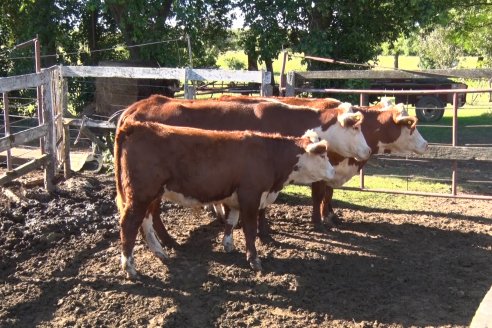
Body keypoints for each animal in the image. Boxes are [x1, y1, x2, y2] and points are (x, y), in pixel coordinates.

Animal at [115, 120, 336, 276]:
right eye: (323, 155)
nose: (333, 172)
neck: (269, 156)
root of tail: (135, 126)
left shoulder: (236, 198)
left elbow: (231, 222)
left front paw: (228, 246)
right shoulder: (251, 196)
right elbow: (250, 229)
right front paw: (254, 260)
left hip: (150, 195)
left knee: (145, 222)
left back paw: (160, 252)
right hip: (140, 194)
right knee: (129, 224)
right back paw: (129, 267)